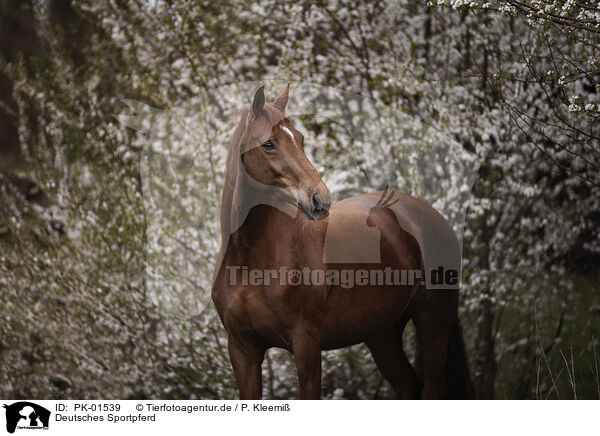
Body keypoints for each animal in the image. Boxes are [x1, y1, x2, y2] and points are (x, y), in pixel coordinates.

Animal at [212, 83, 474, 400]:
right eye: (268, 144)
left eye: (299, 139)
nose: (319, 199)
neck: (251, 259)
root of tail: (431, 216)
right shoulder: (242, 350)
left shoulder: (306, 343)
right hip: (382, 334)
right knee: (408, 387)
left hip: (432, 321)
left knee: (433, 388)